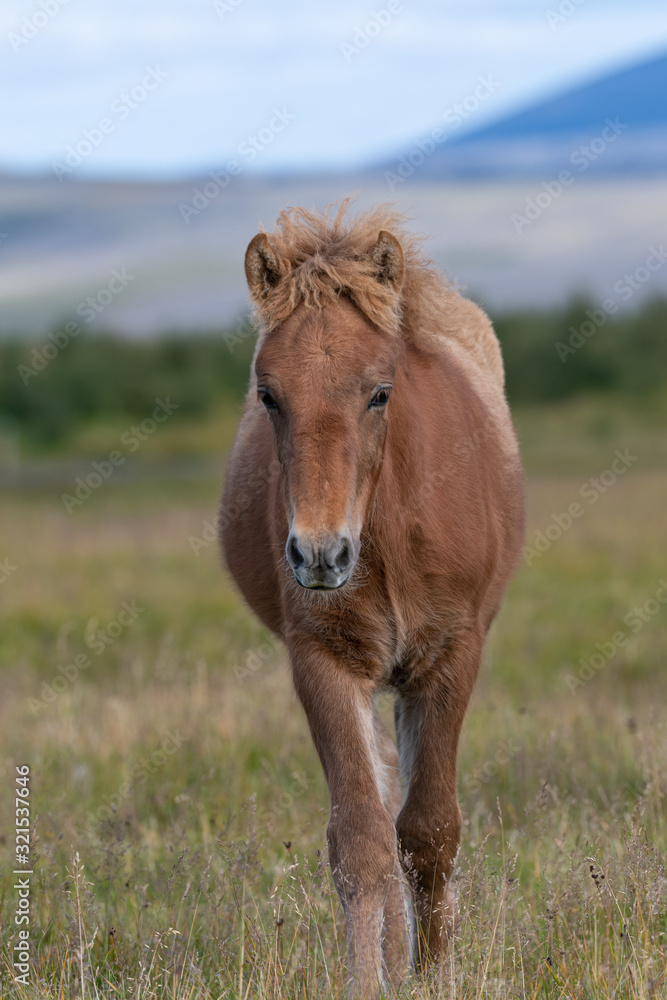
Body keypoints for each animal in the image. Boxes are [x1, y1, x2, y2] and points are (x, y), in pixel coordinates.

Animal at [220, 201, 524, 996]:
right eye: (269, 395)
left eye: (379, 391)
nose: (320, 555)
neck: (386, 535)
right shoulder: (323, 661)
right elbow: (362, 839)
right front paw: (370, 979)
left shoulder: (448, 658)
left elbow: (430, 832)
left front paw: (436, 977)